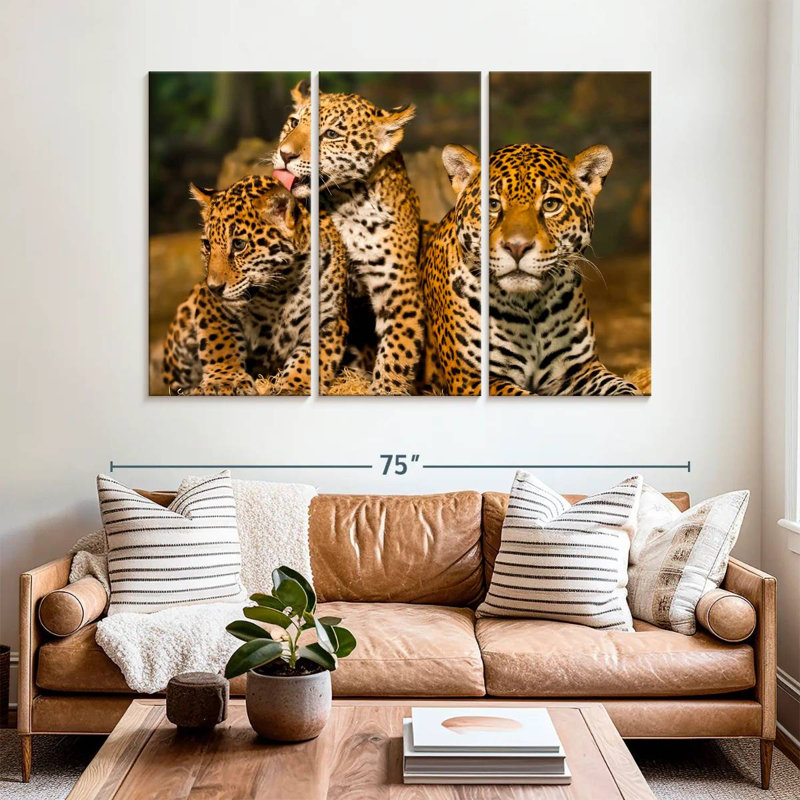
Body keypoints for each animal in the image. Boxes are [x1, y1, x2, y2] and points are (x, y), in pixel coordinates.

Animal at [162, 174, 348, 396]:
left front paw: (294, 386)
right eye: (207, 245)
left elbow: (311, 359)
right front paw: (224, 381)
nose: (214, 287)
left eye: (239, 245)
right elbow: (220, 341)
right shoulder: (211, 304)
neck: (280, 289)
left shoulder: (329, 318)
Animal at [272, 80, 425, 395]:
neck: (345, 203)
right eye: (293, 123)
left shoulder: (401, 295)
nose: (284, 154)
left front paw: (384, 390)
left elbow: (396, 355)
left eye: (331, 134)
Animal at [422, 143, 639, 396]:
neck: (530, 307)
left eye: (551, 205)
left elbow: (624, 387)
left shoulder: (580, 369)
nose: (517, 247)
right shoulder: (471, 379)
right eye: (492, 205)